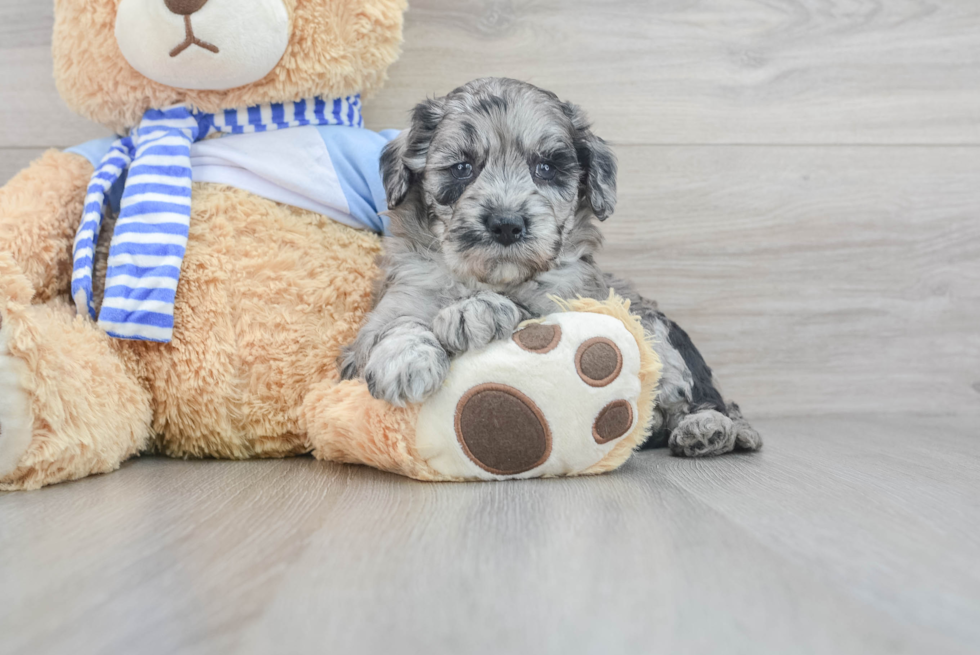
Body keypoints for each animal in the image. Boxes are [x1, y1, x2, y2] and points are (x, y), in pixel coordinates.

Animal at [340, 78, 760, 456]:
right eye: (462, 167)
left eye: (545, 167)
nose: (506, 224)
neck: (487, 277)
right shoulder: (388, 312)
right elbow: (395, 326)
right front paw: (405, 362)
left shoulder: (574, 303)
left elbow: (529, 311)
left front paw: (474, 312)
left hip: (658, 330)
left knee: (699, 399)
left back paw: (705, 429)